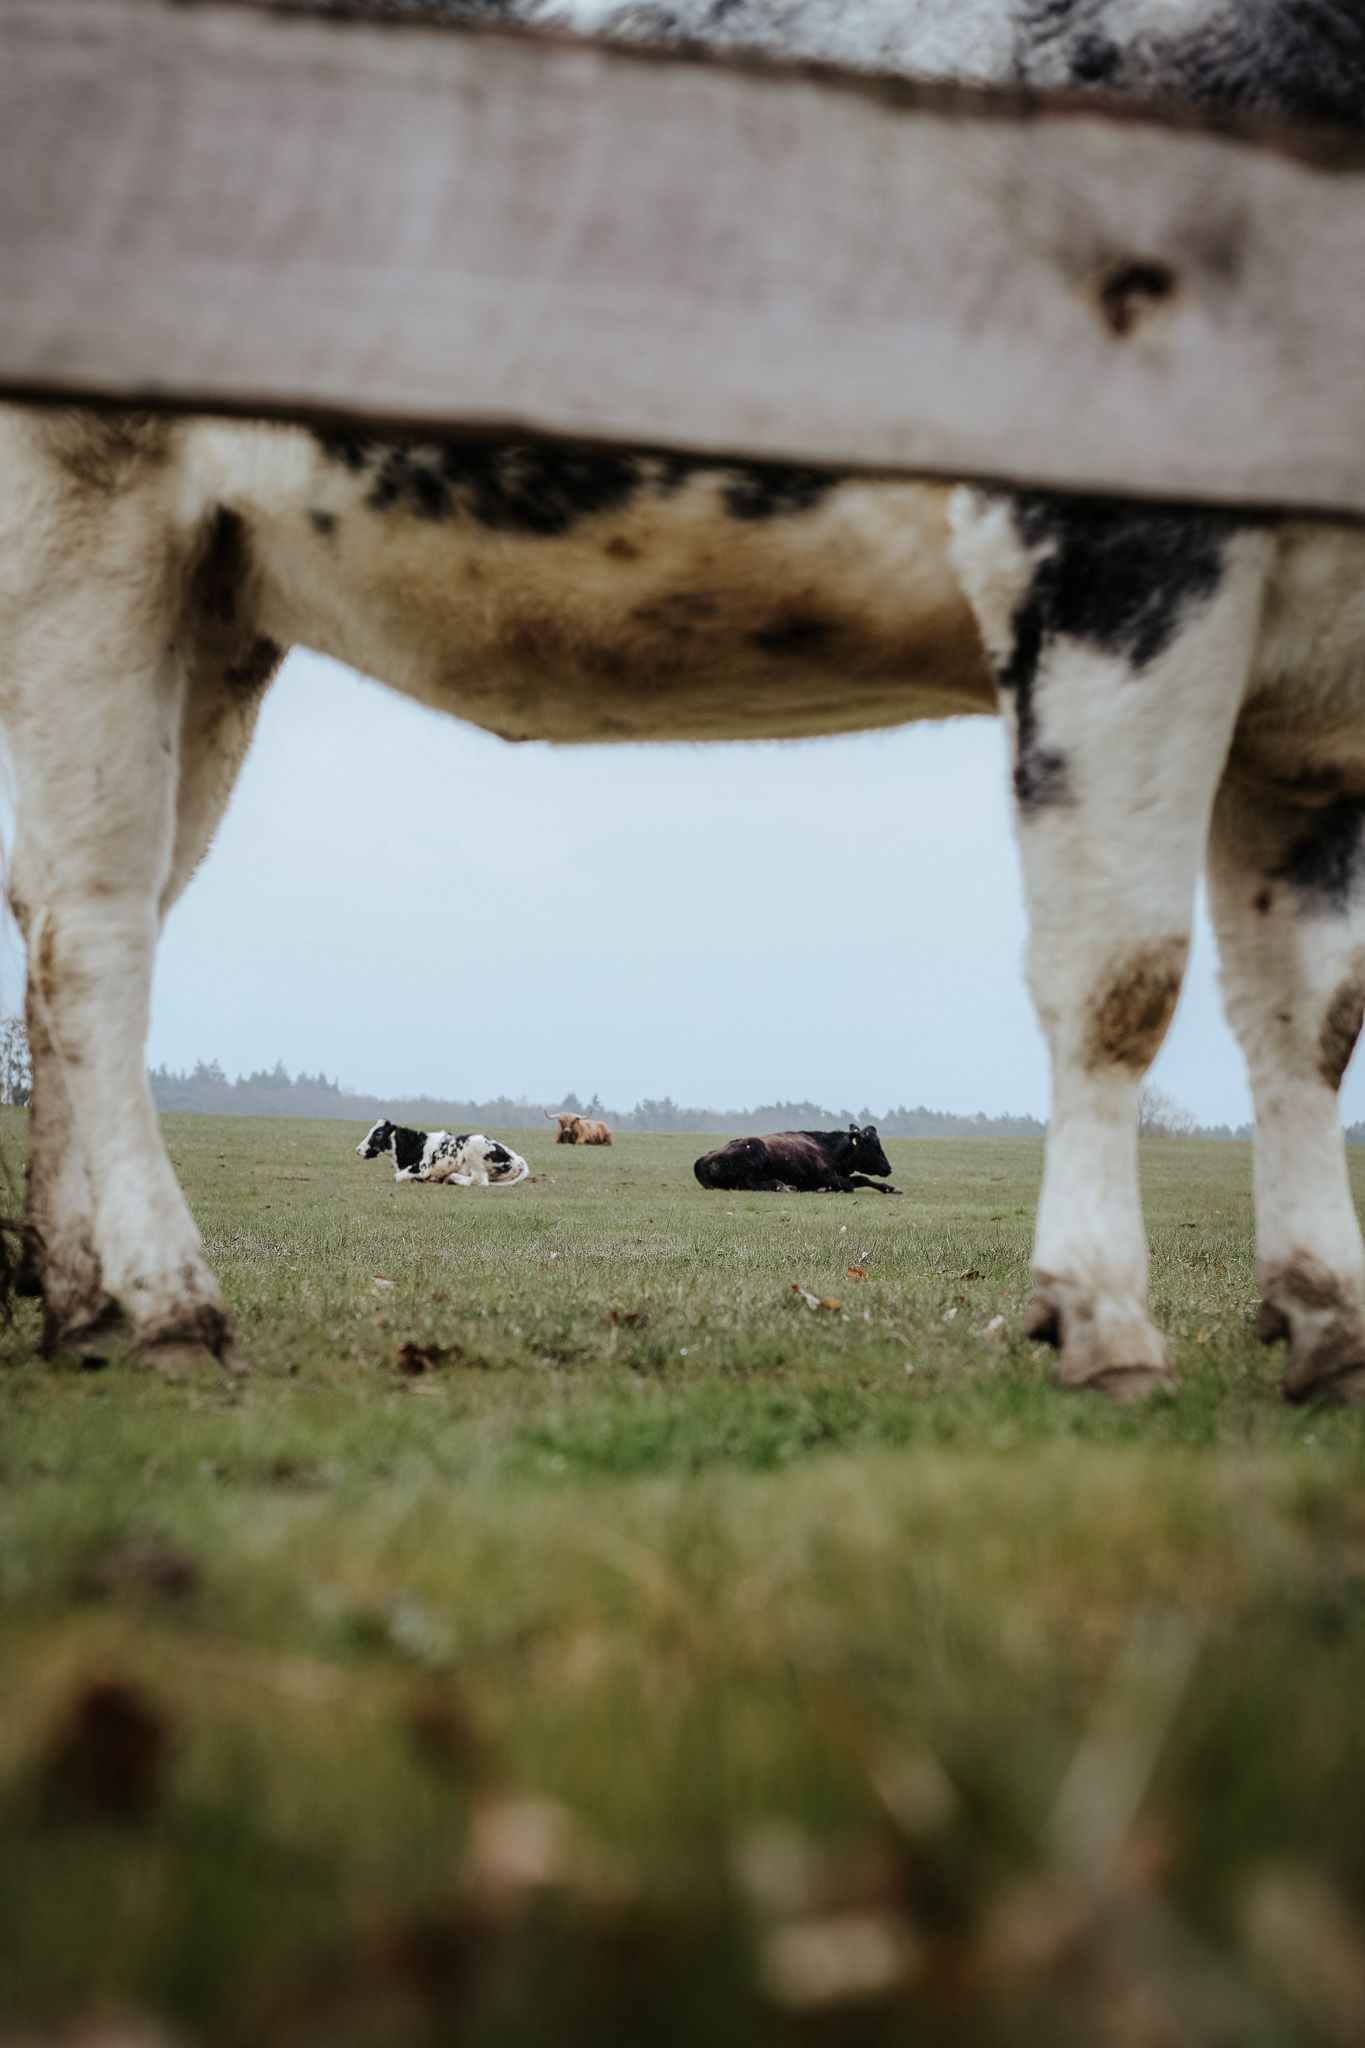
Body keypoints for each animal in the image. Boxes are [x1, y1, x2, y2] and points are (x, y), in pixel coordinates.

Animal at [357, 1120, 531, 1185]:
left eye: (378, 1133)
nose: (358, 1149)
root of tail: (517, 1158)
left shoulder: (422, 1168)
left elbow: (398, 1176)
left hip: (474, 1151)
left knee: (479, 1181)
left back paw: (451, 1178)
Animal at [695, 1125, 898, 1195]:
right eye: (874, 1147)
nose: (888, 1168)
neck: (828, 1149)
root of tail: (704, 1159)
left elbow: (862, 1179)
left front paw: (890, 1188)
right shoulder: (831, 1178)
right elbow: (850, 1184)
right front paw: (822, 1189)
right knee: (748, 1183)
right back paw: (783, 1186)